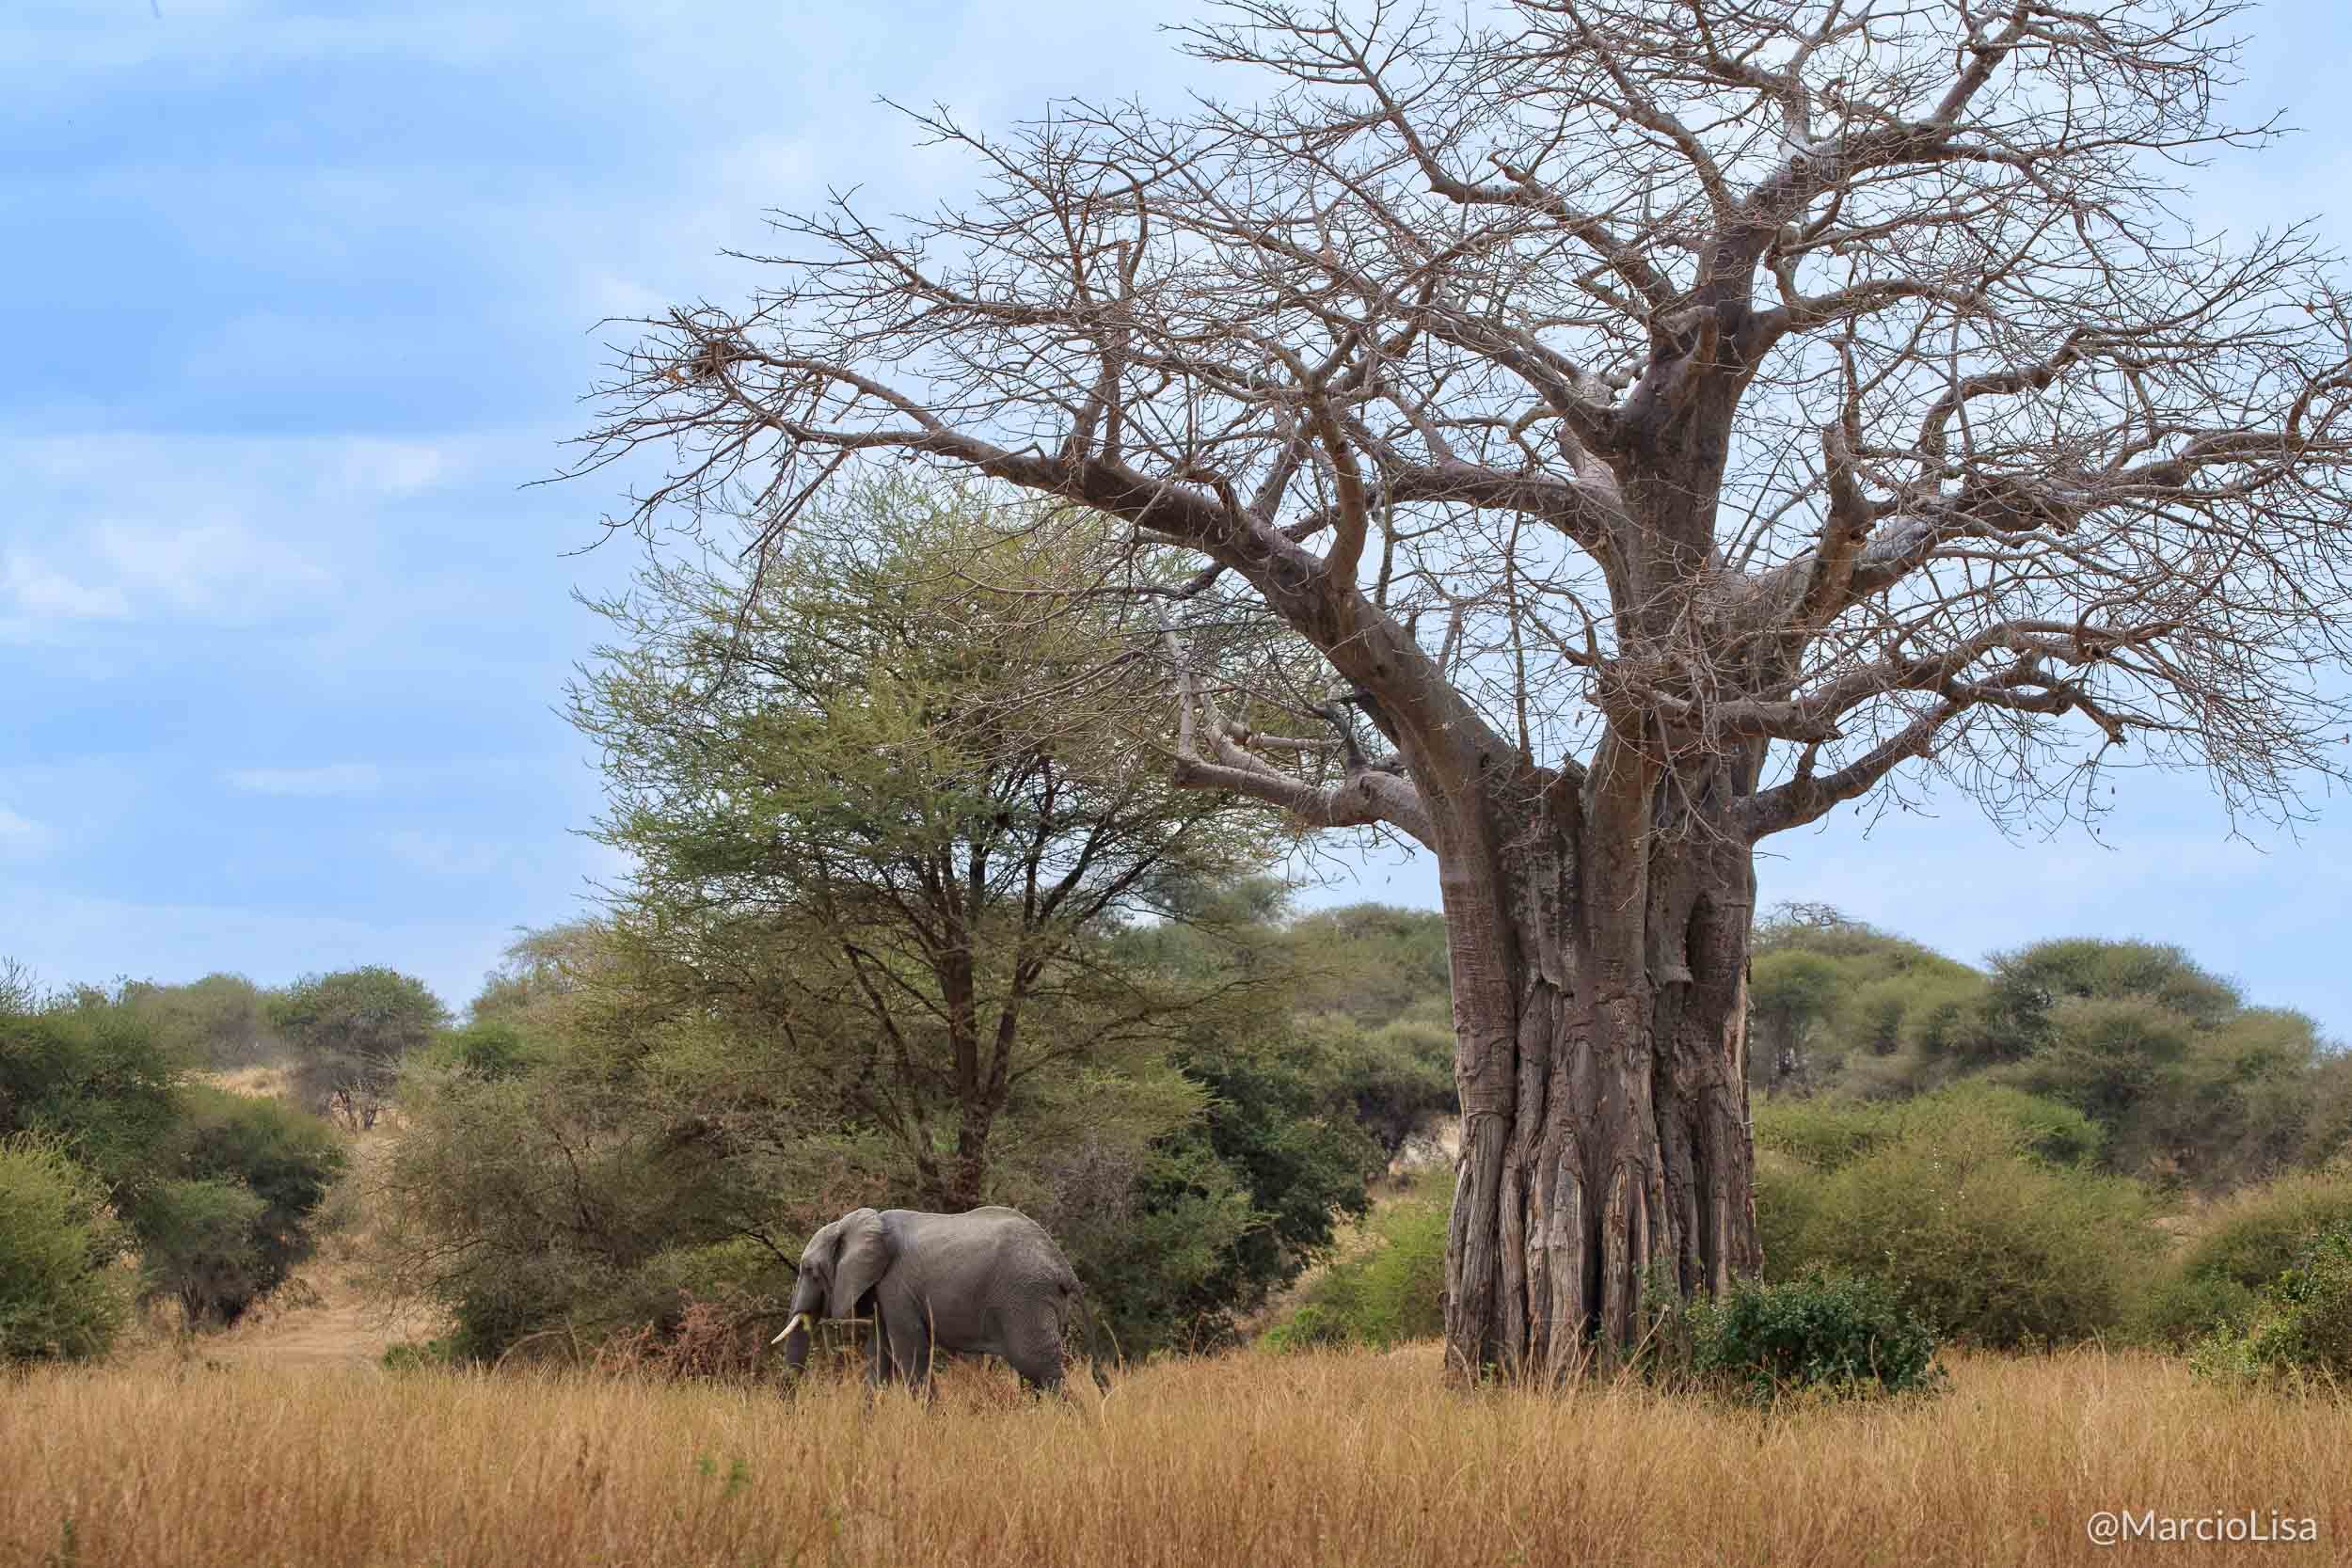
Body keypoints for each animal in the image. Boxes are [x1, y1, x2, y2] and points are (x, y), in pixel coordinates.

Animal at [770, 1205, 1108, 1394]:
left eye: (810, 1271)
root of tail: (1063, 1266)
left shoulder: (896, 1286)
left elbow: (910, 1356)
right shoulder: (884, 1293)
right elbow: (879, 1358)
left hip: (1026, 1300)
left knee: (1040, 1369)